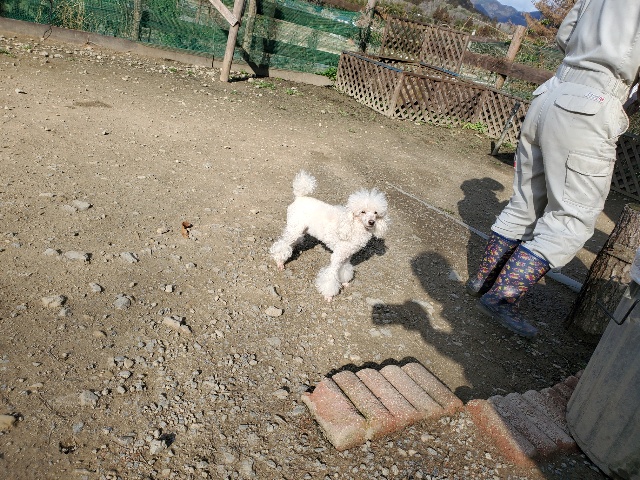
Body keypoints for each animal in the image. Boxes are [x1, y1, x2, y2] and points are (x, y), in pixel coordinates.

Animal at [270, 170, 389, 301]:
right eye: (362, 212)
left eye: (375, 213)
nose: (371, 222)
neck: (353, 227)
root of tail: (300, 197)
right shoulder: (337, 256)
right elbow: (331, 275)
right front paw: (328, 295)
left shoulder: (347, 256)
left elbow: (344, 270)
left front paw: (344, 282)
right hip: (295, 228)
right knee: (283, 243)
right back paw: (280, 262)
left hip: (301, 229)